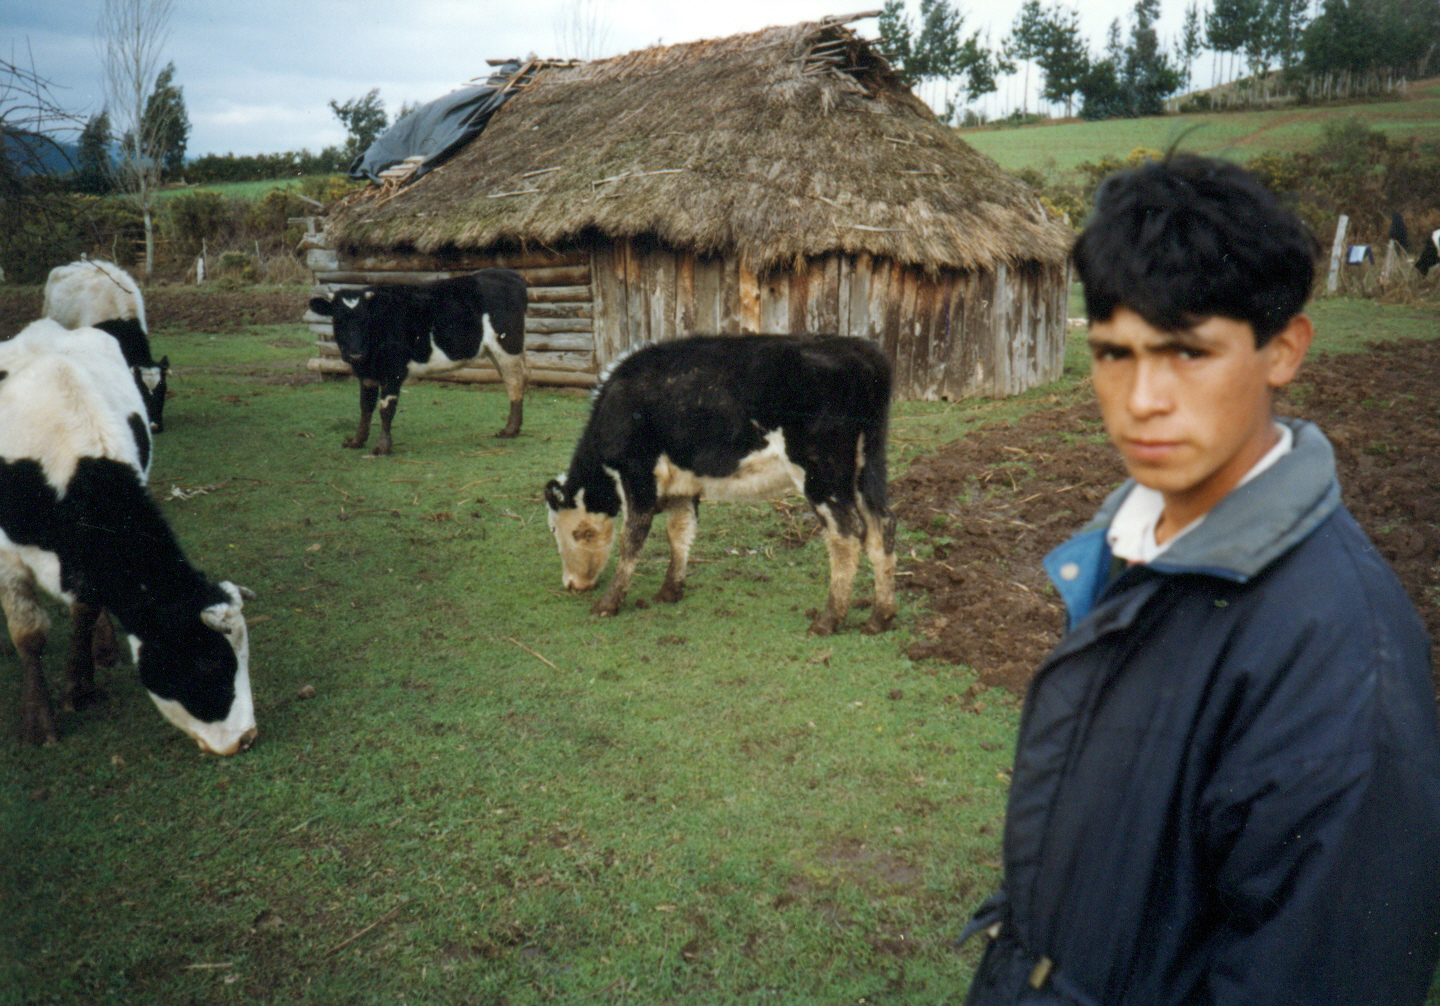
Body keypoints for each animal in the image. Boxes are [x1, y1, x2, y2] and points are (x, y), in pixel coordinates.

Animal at [0, 318, 256, 754]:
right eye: (207, 661)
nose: (246, 738)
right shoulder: (7, 555)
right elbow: (30, 634)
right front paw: (38, 721)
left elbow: (85, 610)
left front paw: (80, 685)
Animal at [309, 269, 529, 454]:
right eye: (338, 320)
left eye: (366, 319)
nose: (354, 354)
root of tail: (509, 274)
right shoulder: (367, 374)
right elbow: (365, 407)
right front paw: (357, 441)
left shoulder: (394, 369)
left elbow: (386, 408)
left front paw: (383, 447)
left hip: (508, 345)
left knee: (515, 382)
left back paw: (510, 430)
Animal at [541, 333, 892, 633]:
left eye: (565, 531)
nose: (572, 584)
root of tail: (861, 351)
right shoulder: (682, 483)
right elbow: (679, 531)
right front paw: (670, 590)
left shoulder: (638, 473)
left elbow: (632, 539)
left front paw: (608, 604)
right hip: (868, 468)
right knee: (882, 526)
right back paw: (880, 617)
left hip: (822, 472)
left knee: (846, 533)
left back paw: (828, 620)